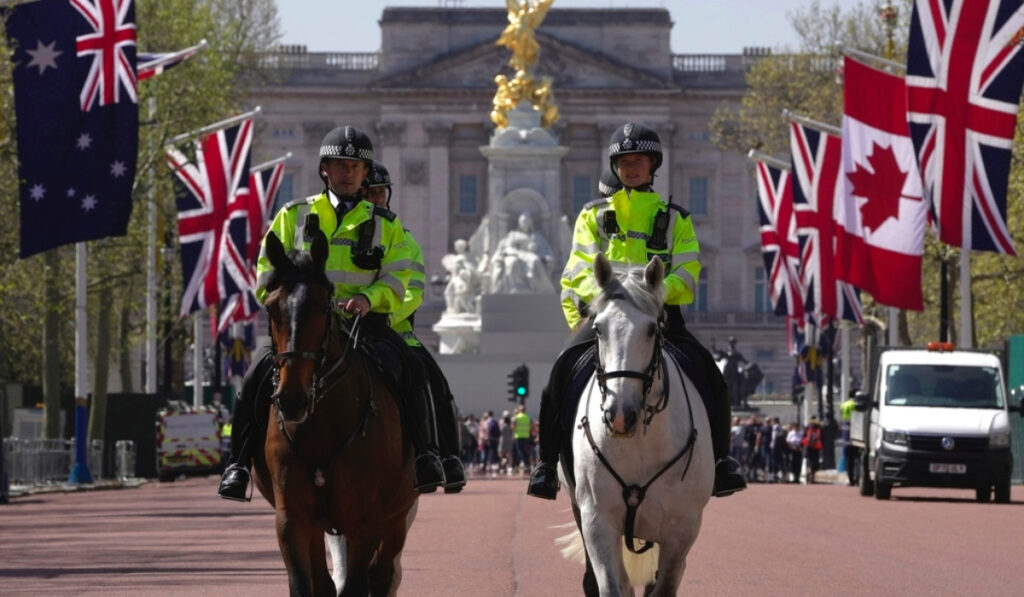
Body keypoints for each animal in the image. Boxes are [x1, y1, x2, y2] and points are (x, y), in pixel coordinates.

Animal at [249, 229, 417, 597]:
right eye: (271, 307)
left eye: (322, 306)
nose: (292, 399)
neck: (321, 427)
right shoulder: (293, 519)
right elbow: (306, 585)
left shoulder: (366, 521)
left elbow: (356, 586)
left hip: (396, 516)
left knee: (382, 576)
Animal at [557, 253, 716, 597]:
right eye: (598, 328)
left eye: (652, 329)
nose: (620, 414)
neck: (640, 442)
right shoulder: (597, 520)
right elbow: (610, 587)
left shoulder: (682, 528)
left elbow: (663, 587)